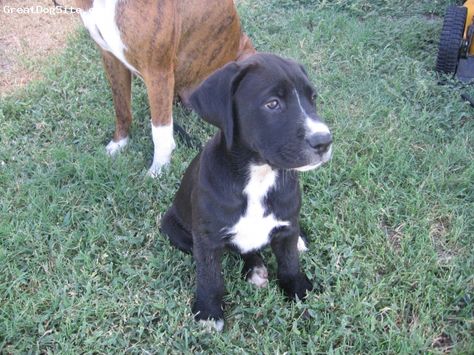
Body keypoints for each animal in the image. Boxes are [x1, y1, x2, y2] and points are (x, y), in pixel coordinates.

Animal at [161, 53, 332, 334]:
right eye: (272, 104)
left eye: (313, 98)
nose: (324, 141)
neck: (258, 176)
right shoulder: (207, 238)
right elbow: (209, 275)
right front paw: (208, 312)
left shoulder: (287, 223)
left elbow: (290, 261)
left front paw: (298, 289)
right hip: (172, 227)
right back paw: (254, 269)